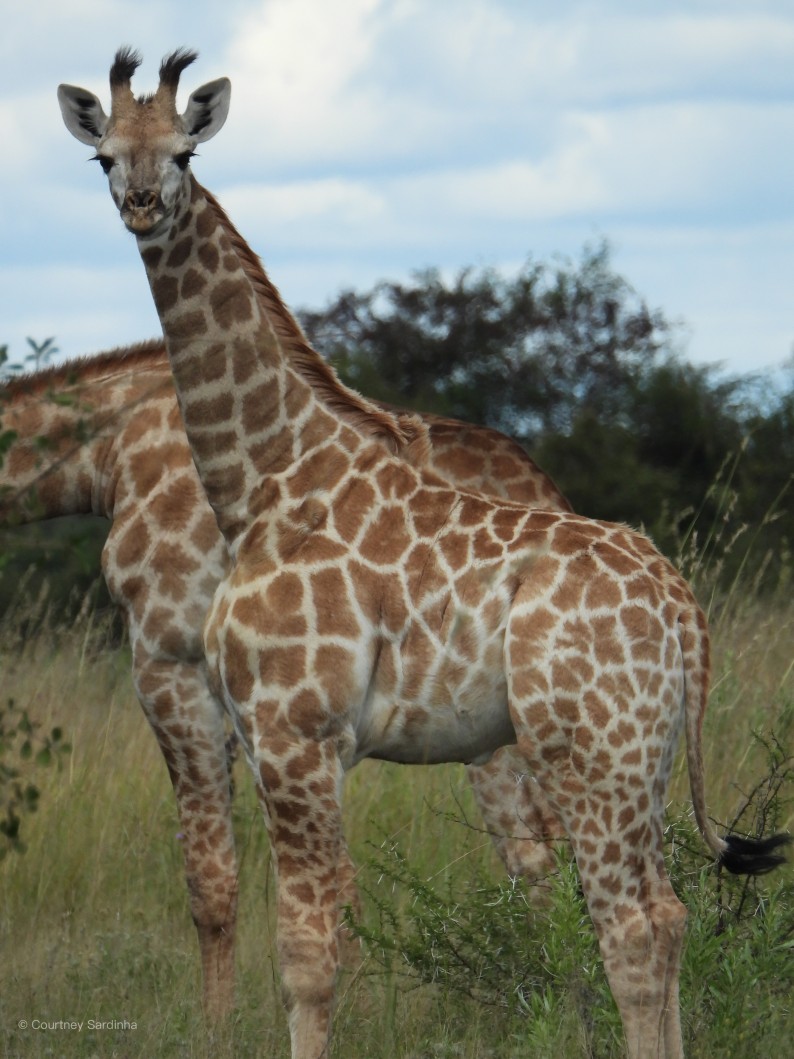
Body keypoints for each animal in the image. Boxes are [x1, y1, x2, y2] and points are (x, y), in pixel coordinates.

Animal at [0, 340, 565, 1018]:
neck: (110, 453)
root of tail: (543, 488)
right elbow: (332, 878)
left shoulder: (168, 656)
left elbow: (212, 880)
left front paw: (219, 1027)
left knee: (536, 851)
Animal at [58, 50, 788, 1059]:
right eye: (103, 157)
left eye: (183, 152)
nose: (138, 203)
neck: (262, 482)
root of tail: (683, 607)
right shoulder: (289, 742)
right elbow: (325, 934)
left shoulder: (295, 733)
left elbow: (307, 953)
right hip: (639, 756)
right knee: (671, 913)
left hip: (587, 753)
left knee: (631, 927)